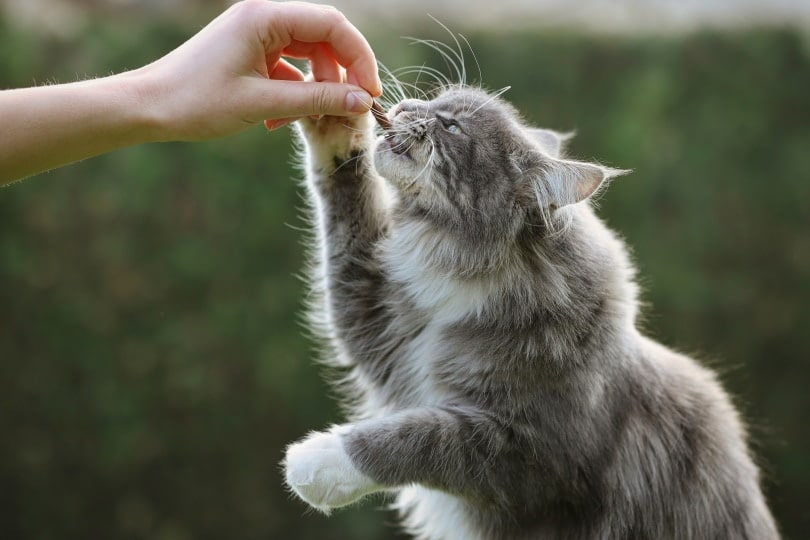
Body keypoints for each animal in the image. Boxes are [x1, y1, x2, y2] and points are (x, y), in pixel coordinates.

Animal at [282, 85, 776, 540]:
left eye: (452, 127)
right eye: (438, 100)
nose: (404, 106)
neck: (468, 278)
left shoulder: (533, 452)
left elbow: (420, 437)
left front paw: (320, 461)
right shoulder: (380, 323)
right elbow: (346, 204)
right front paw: (334, 121)